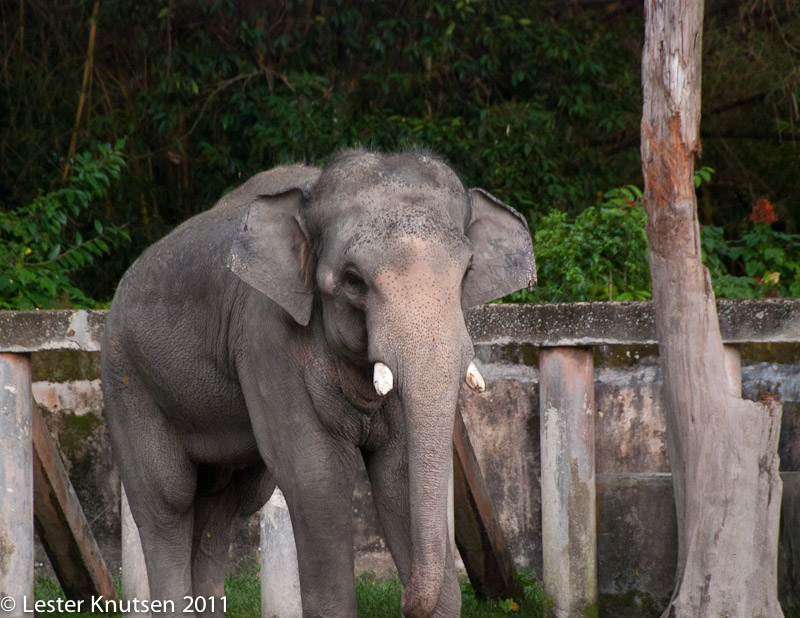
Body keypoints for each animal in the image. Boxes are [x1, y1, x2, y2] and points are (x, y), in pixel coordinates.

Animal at [101, 149, 536, 616]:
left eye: (467, 271)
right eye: (353, 279)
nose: (401, 599)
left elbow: (398, 472)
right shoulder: (266, 336)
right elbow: (317, 476)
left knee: (226, 501)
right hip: (126, 379)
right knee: (168, 499)